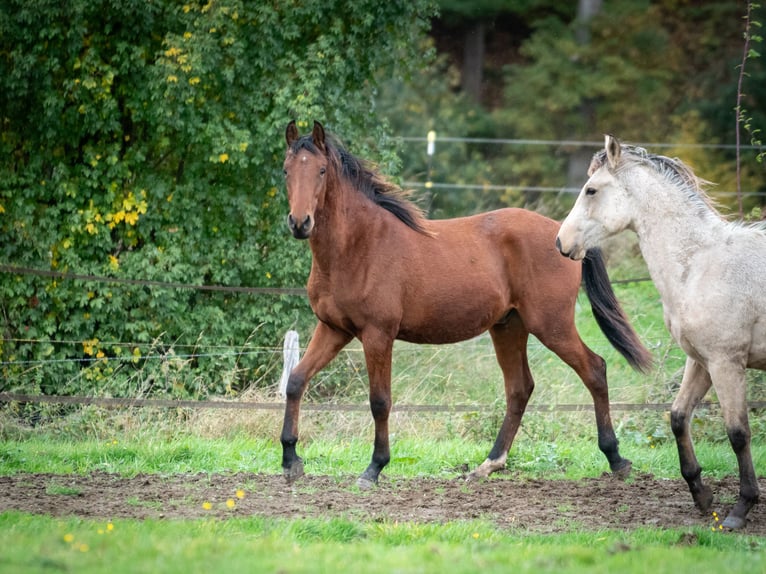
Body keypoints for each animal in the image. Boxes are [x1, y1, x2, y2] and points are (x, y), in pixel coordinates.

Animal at [280, 121, 652, 489]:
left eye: (322, 170)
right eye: (286, 170)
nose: (300, 223)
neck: (359, 246)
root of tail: (564, 238)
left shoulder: (377, 335)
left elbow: (380, 401)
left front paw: (374, 468)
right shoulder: (334, 329)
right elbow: (296, 381)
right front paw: (290, 460)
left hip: (552, 325)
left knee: (594, 369)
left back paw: (616, 458)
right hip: (508, 327)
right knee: (520, 388)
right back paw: (489, 464)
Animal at [556, 135, 766, 529]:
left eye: (591, 190)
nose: (561, 242)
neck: (700, 262)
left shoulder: (726, 362)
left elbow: (738, 433)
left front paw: (740, 509)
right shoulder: (700, 361)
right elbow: (678, 417)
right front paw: (701, 495)